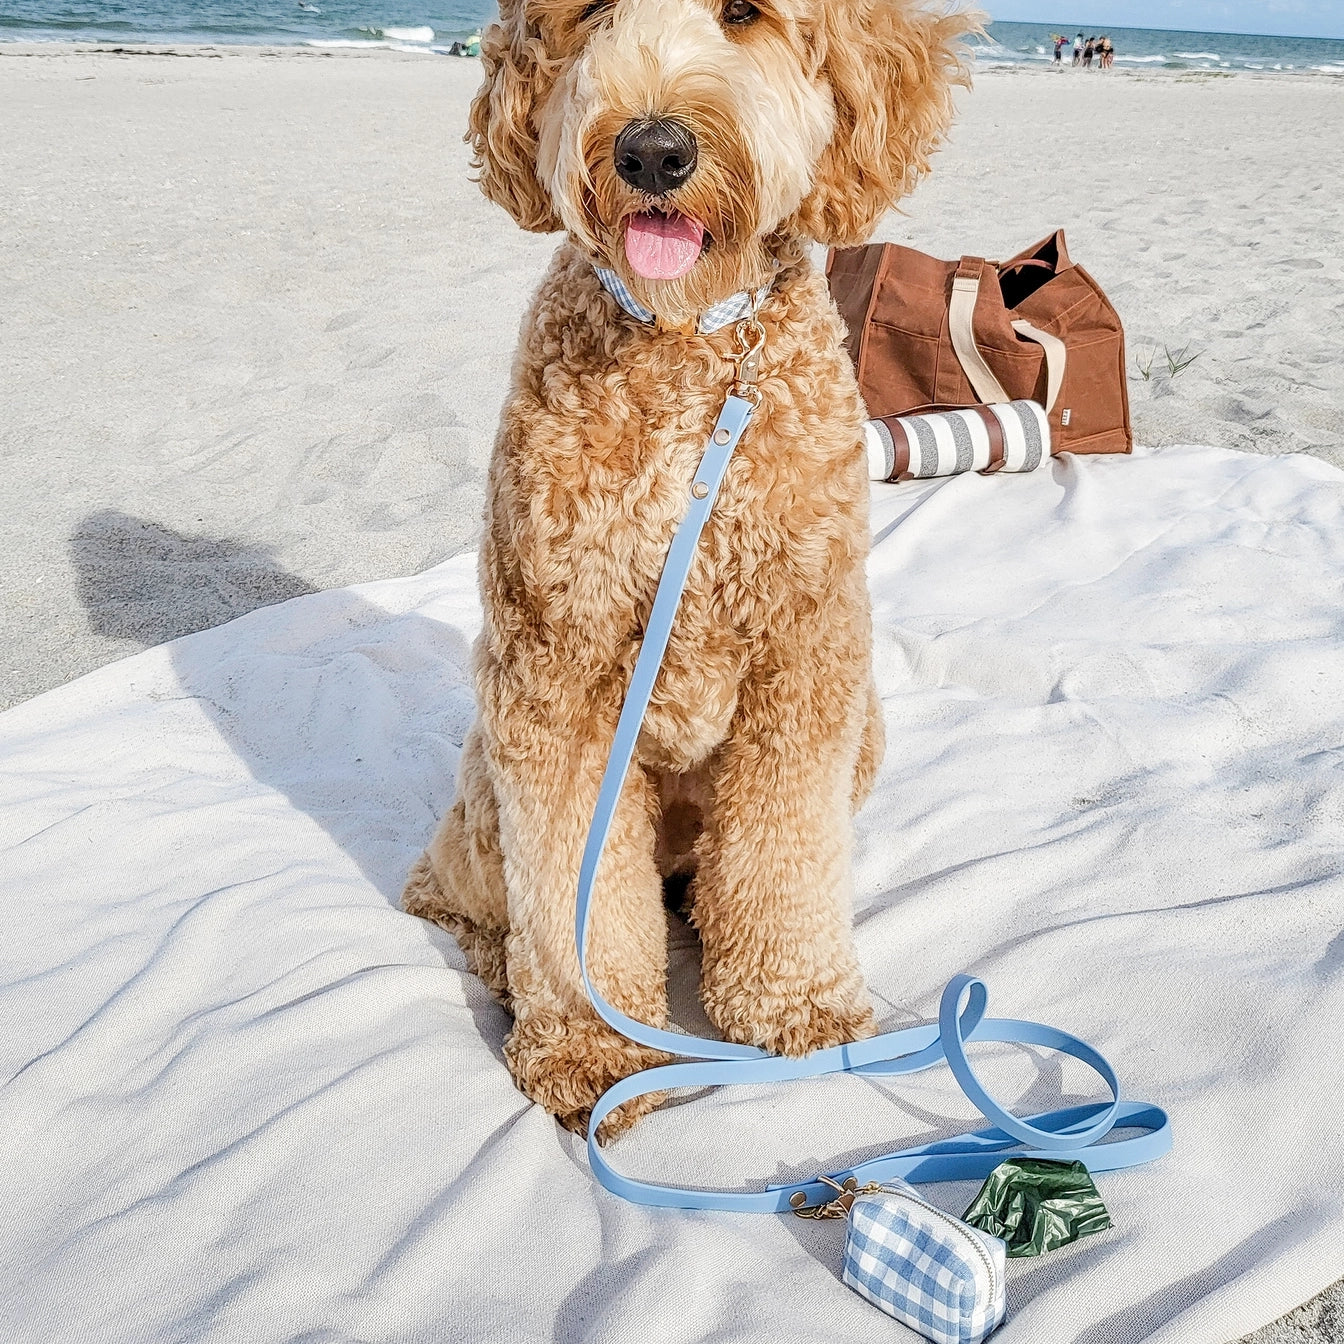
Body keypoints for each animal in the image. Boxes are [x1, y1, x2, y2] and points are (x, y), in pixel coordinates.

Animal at [403, 0, 973, 1134]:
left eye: (745, 15)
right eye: (588, 15)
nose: (652, 151)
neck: (686, 348)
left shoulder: (807, 652)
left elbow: (783, 855)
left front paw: (796, 1008)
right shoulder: (556, 671)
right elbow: (570, 891)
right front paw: (592, 1049)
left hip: (867, 725)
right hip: (488, 764)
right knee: (454, 888)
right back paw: (502, 965)